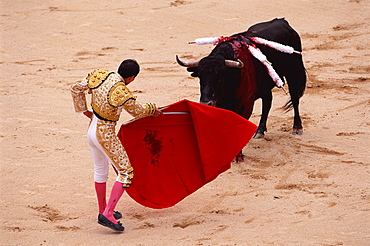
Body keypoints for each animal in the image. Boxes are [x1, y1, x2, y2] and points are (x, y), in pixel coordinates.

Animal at [176, 18, 306, 139]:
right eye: (200, 78)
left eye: (220, 78)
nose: (206, 103)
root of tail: (282, 21)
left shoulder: (245, 105)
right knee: (267, 102)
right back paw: (260, 131)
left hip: (294, 73)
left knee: (294, 98)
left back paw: (297, 127)